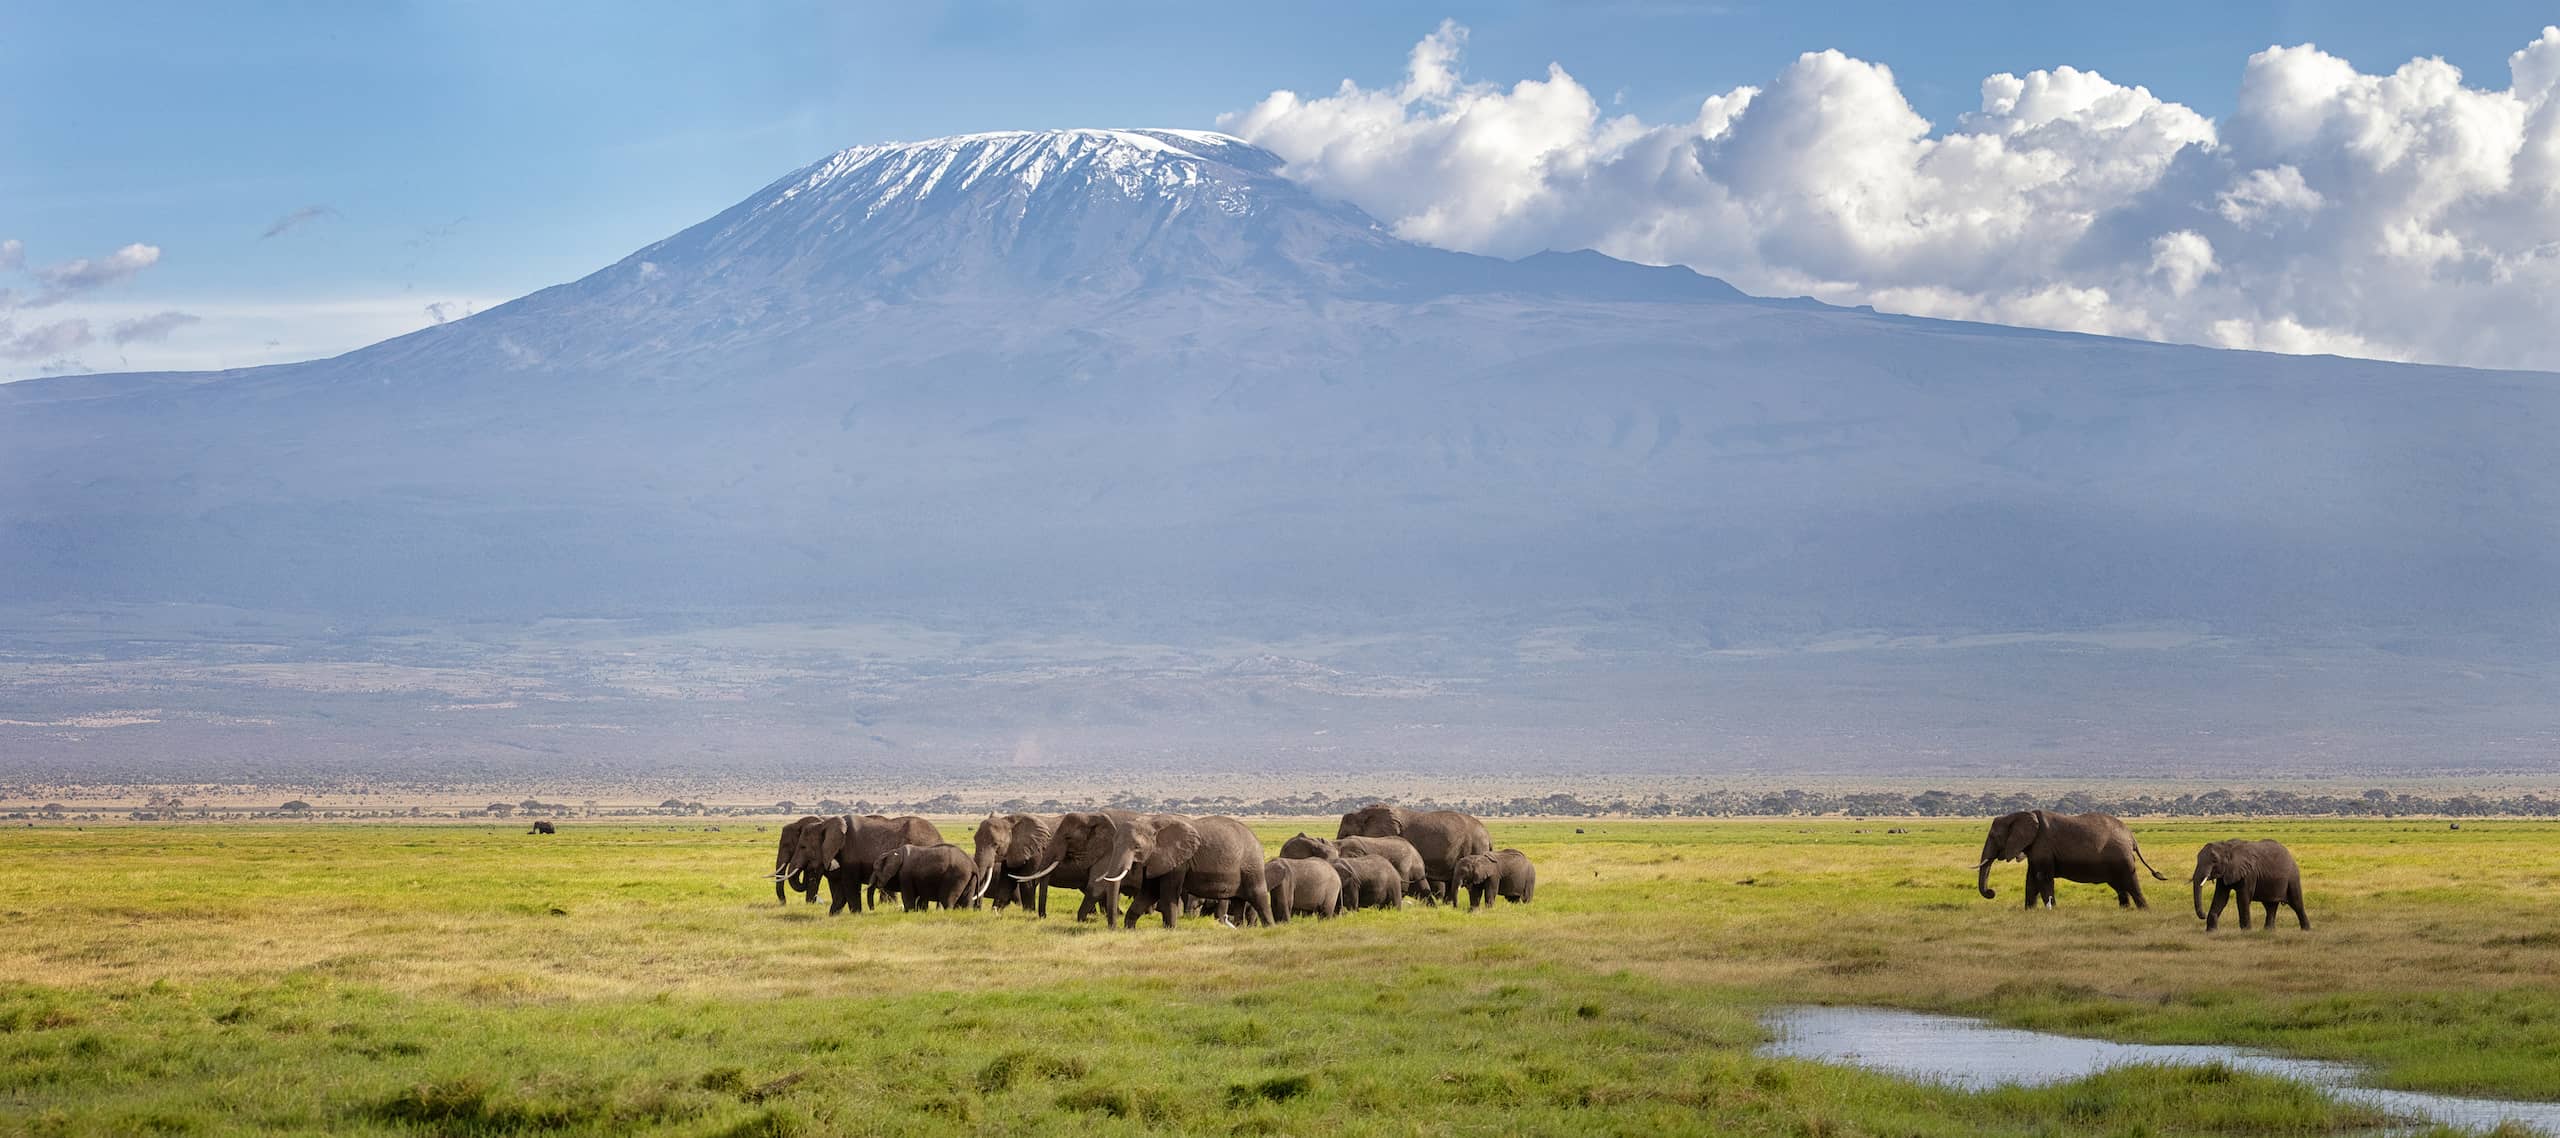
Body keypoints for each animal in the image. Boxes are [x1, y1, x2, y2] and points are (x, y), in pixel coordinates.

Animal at [1121, 813, 1280, 925]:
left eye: (1137, 847)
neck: (1152, 820)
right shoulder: (1158, 860)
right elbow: (1149, 892)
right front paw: (1130, 930)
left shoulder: (1179, 862)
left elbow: (1167, 896)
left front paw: (1170, 930)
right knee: (1238, 901)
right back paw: (1239, 928)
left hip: (1252, 865)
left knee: (1258, 896)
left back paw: (1270, 928)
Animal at [1976, 802, 2160, 910]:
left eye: (1994, 836)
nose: (1991, 892)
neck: (2022, 814)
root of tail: (2131, 836)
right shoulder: (2035, 848)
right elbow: (2031, 880)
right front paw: (2029, 912)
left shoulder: (2043, 845)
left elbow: (2042, 878)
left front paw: (2052, 911)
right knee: (2119, 886)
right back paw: (2124, 910)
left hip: (2122, 857)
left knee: (2131, 883)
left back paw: (2144, 910)